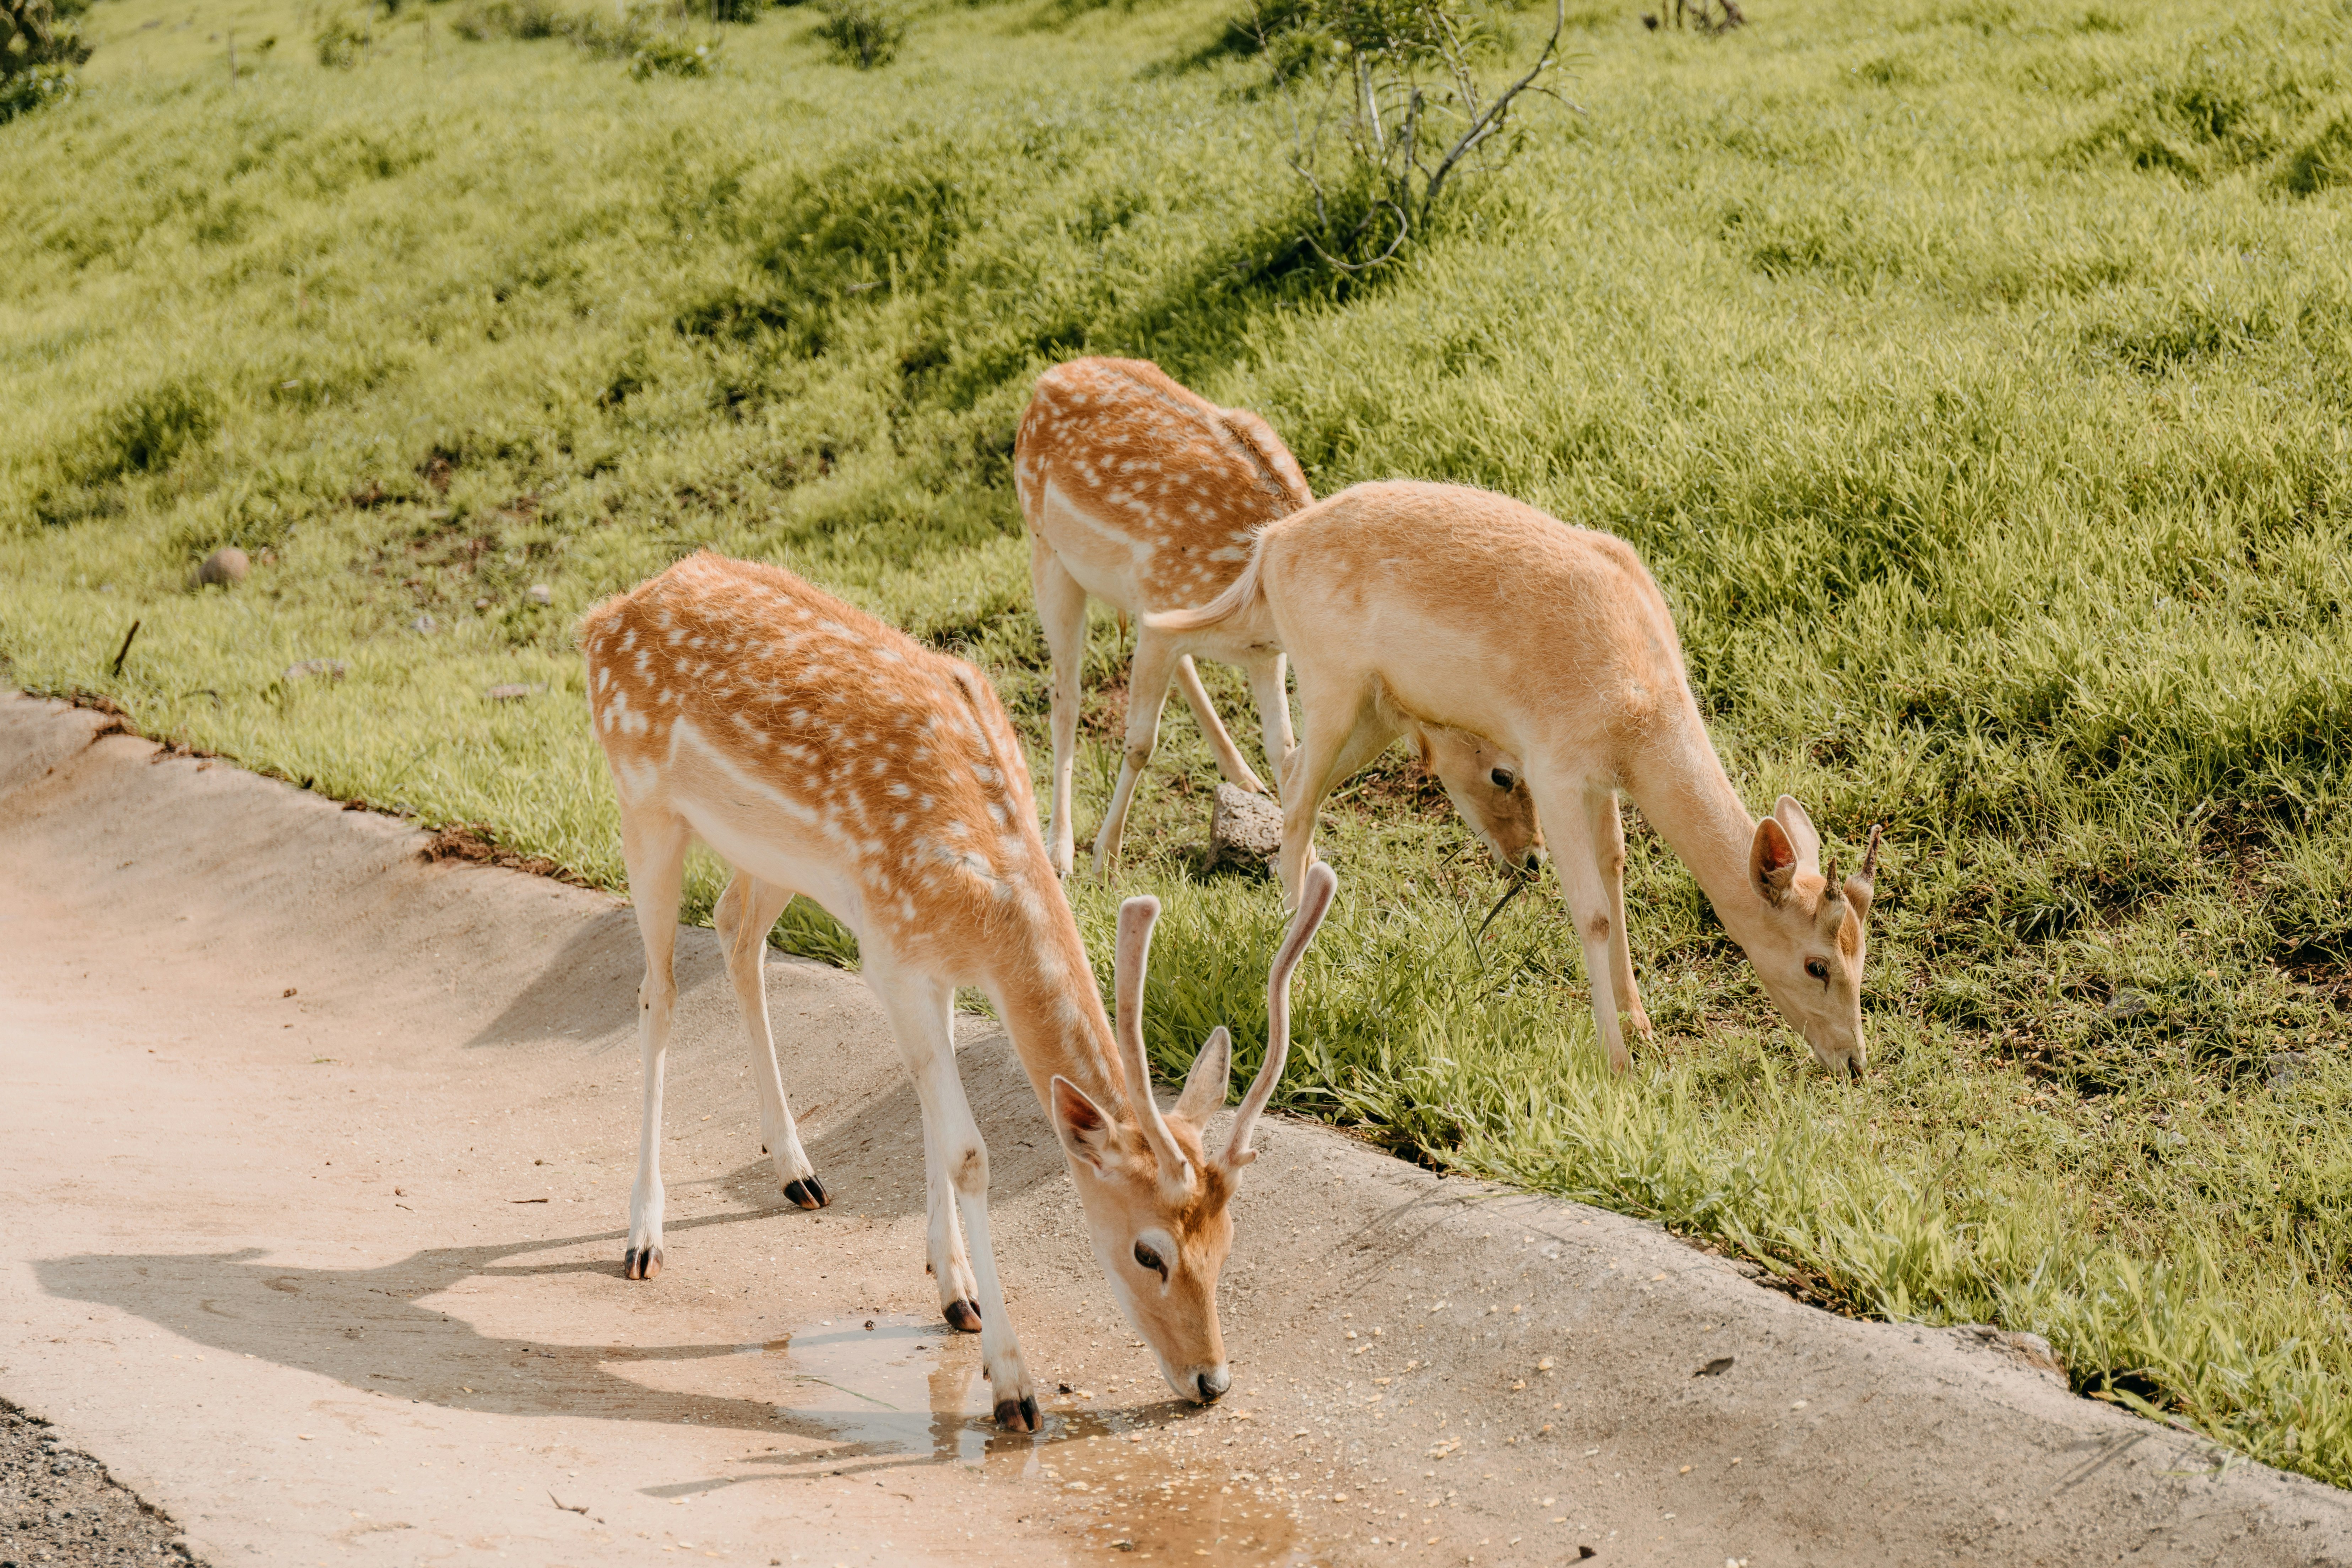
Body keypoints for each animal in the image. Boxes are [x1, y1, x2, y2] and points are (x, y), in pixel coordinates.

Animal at [576, 552, 1336, 1438]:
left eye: (1227, 1239)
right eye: (1149, 1249)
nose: (1211, 1378)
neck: (984, 904)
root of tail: (607, 614)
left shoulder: (925, 958)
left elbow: (935, 1125)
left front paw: (956, 1293)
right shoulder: (893, 953)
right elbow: (969, 1150)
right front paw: (1012, 1383)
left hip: (769, 855)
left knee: (734, 932)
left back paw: (797, 1171)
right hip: (643, 802)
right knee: (657, 988)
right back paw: (644, 1235)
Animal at [1011, 359, 1543, 889]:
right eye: (1502, 773)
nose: (1534, 859)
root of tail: (1048, 378)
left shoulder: (1260, 651)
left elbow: (1282, 748)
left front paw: (1302, 860)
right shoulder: (1172, 615)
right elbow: (1142, 742)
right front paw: (1105, 858)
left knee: (1178, 667)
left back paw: (1243, 778)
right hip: (1045, 551)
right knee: (1066, 695)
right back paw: (1061, 852)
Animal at [1148, 484, 1881, 1081]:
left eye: (1861, 950)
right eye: (1817, 962)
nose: (1853, 1063)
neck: (1638, 703)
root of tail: (1272, 543)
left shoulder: (1601, 784)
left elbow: (1616, 874)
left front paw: (1642, 1026)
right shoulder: (1555, 771)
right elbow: (1589, 911)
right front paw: (1617, 1062)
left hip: (1375, 712)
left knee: (1290, 768)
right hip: (1331, 686)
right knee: (1293, 792)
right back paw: (1289, 949)